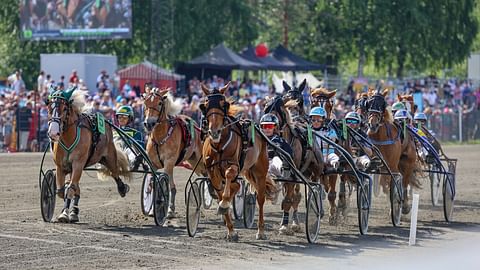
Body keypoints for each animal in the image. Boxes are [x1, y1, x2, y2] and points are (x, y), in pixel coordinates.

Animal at [47, 87, 130, 224]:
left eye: (64, 108)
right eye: (48, 106)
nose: (53, 133)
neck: (69, 137)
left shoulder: (78, 164)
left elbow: (70, 188)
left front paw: (64, 214)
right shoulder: (61, 166)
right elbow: (62, 191)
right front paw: (65, 212)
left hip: (109, 157)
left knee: (115, 173)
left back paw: (122, 188)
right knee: (76, 187)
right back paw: (74, 212)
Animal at [142, 87, 206, 218]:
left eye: (159, 103)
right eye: (145, 103)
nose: (149, 123)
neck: (160, 138)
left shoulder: (169, 162)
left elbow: (167, 186)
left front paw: (167, 209)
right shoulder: (153, 164)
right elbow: (153, 184)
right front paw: (152, 210)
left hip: (200, 159)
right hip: (193, 161)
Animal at [201, 83, 278, 239]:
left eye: (224, 104)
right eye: (205, 105)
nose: (214, 131)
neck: (219, 145)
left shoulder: (234, 165)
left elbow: (229, 175)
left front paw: (224, 204)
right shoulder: (212, 172)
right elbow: (220, 193)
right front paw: (230, 229)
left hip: (260, 171)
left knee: (260, 198)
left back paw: (261, 231)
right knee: (235, 185)